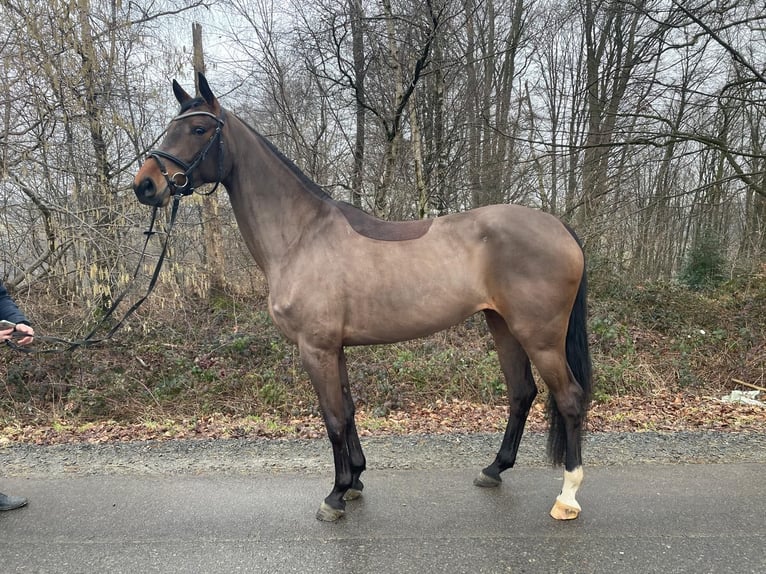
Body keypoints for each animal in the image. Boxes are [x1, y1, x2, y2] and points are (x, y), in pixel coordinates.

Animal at [133, 73, 592, 522]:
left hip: (540, 337)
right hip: (503, 326)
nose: (145, 185)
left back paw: (567, 497)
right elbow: (349, 411)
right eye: (170, 126)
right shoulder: (334, 347)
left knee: (569, 398)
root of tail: (559, 227)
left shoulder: (315, 348)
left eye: (198, 129)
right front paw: (354, 480)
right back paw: (494, 469)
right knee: (521, 393)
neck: (301, 237)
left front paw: (335, 495)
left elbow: (333, 418)